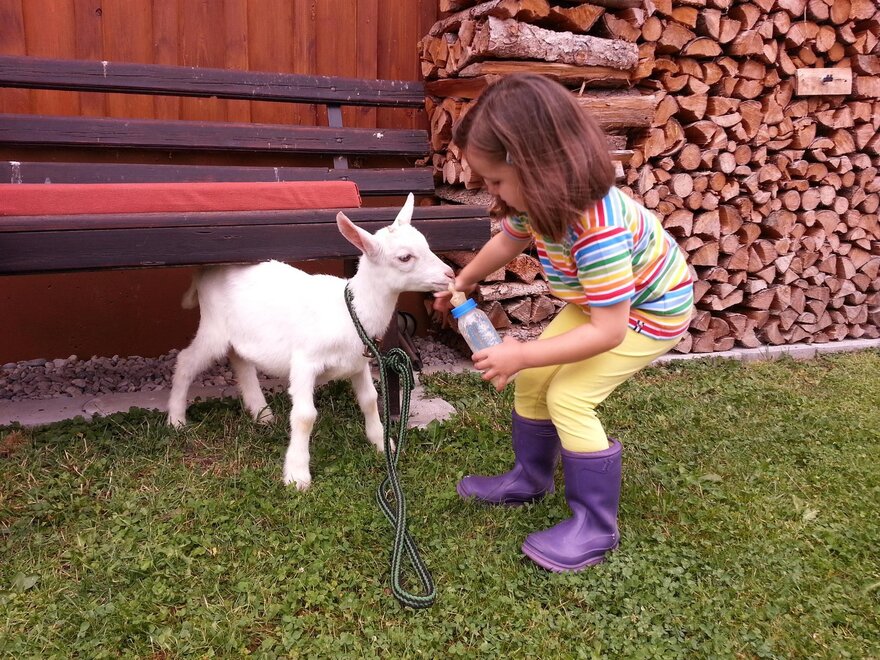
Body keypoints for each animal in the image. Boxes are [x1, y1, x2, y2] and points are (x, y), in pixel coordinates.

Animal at [167, 193, 455, 489]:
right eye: (404, 257)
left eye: (426, 244)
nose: (450, 274)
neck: (349, 310)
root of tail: (205, 271)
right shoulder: (305, 361)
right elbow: (305, 416)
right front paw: (297, 475)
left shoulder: (358, 362)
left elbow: (370, 399)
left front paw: (382, 444)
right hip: (214, 326)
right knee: (187, 360)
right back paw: (176, 420)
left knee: (241, 359)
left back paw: (262, 414)